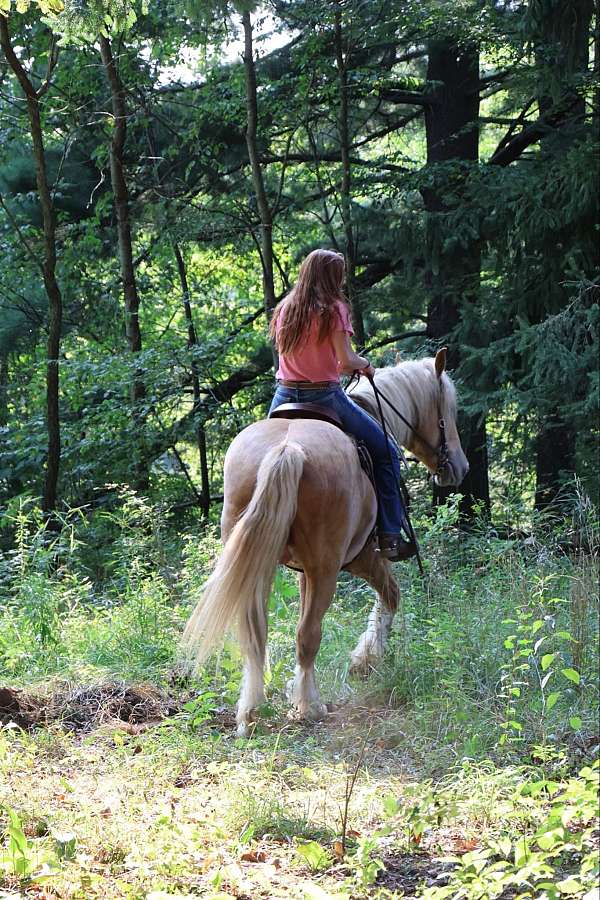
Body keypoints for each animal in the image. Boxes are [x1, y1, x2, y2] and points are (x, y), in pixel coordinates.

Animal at [183, 348, 468, 736]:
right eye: (447, 411)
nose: (460, 467)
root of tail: (287, 448)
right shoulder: (362, 557)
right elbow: (391, 596)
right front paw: (365, 660)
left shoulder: (304, 571)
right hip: (327, 568)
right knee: (308, 634)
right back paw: (310, 706)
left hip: (259, 562)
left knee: (256, 632)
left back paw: (253, 710)